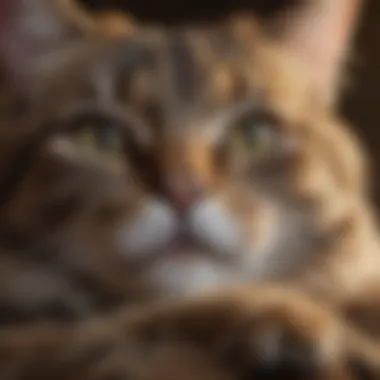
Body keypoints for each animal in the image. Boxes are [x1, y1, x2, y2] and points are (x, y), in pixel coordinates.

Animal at [0, 0, 380, 378]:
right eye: (100, 136)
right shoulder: (35, 340)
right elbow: (111, 328)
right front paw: (283, 321)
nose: (182, 192)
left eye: (253, 132)